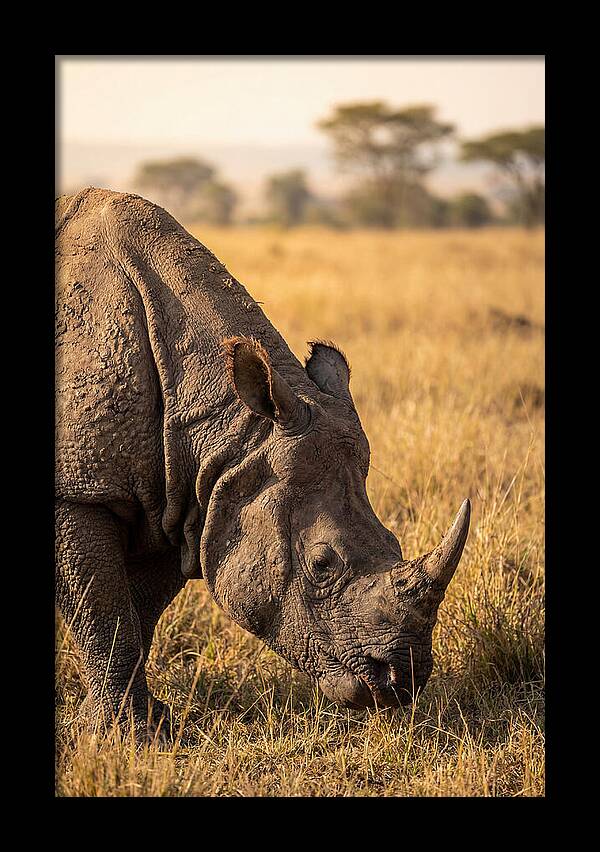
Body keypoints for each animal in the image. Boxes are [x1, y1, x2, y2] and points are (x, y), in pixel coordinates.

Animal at [55, 187, 470, 739]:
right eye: (321, 565)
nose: (401, 682)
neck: (228, 430)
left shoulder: (183, 497)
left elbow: (135, 616)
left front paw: (139, 726)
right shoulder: (80, 492)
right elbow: (105, 617)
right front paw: (128, 738)